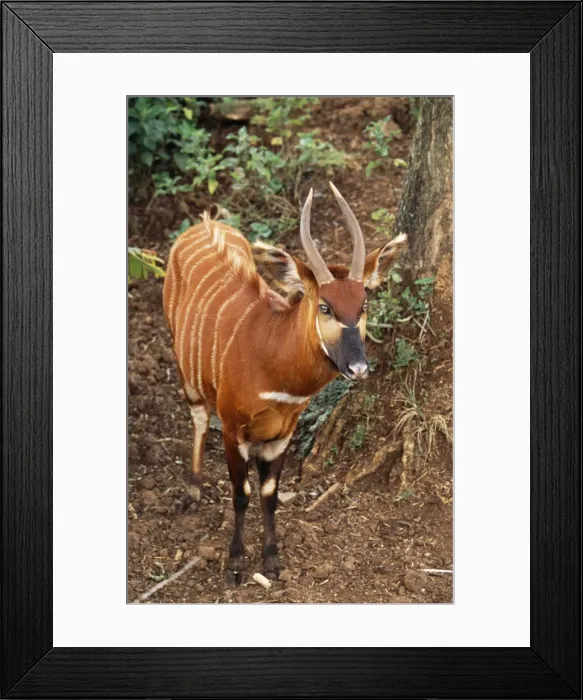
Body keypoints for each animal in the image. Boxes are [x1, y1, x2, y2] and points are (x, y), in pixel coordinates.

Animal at [163, 183, 406, 584]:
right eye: (325, 306)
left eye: (364, 305)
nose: (358, 368)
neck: (273, 362)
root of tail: (203, 222)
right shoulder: (232, 428)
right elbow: (241, 492)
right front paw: (235, 563)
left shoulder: (282, 434)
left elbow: (270, 493)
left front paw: (272, 560)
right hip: (185, 369)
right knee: (198, 417)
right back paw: (193, 491)